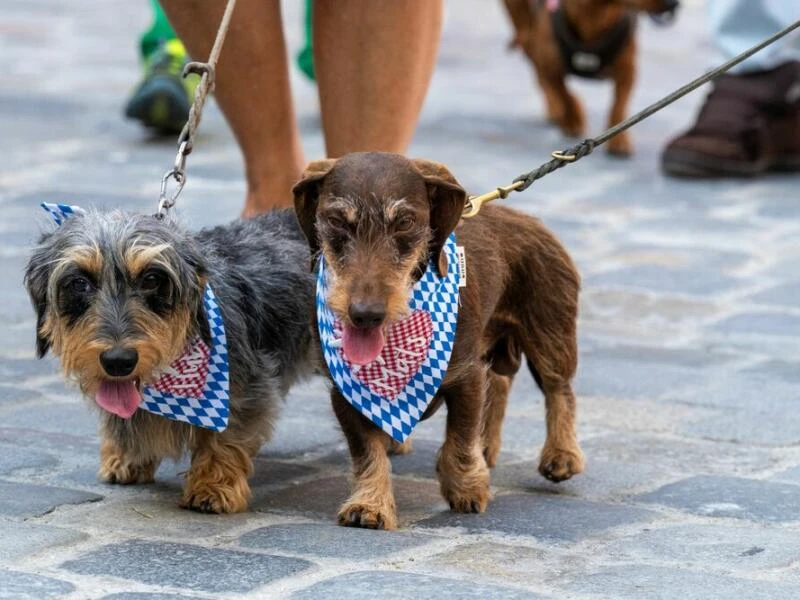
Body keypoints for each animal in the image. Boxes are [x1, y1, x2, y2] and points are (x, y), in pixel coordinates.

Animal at [25, 209, 312, 512]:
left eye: (151, 279)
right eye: (80, 283)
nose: (118, 361)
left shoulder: (244, 388)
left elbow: (226, 434)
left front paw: (212, 485)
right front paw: (128, 456)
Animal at [294, 154, 580, 528]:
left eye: (404, 221)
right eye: (336, 220)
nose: (365, 314)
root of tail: (527, 219)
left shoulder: (465, 375)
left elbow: (460, 435)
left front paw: (465, 487)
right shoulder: (344, 393)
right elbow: (367, 451)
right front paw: (370, 504)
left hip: (550, 331)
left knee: (559, 390)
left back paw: (561, 454)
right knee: (500, 383)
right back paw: (487, 446)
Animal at [504, 0, 680, 157]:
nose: (674, 4)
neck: (594, 17)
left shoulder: (628, 71)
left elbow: (618, 106)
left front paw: (619, 139)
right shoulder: (550, 66)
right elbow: (565, 95)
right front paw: (573, 118)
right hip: (524, 28)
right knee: (540, 74)